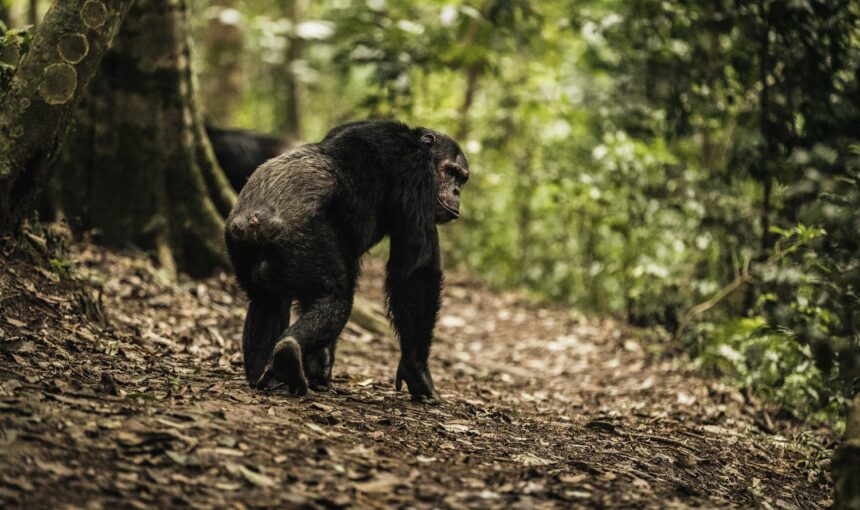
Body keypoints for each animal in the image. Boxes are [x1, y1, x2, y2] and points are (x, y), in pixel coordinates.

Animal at [225, 120, 469, 403]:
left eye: (462, 178)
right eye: (450, 172)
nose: (456, 191)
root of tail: (256, 219)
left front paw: (320, 363)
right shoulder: (416, 177)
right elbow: (415, 270)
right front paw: (417, 370)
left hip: (240, 247)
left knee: (267, 302)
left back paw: (266, 376)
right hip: (303, 239)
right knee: (336, 298)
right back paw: (289, 353)